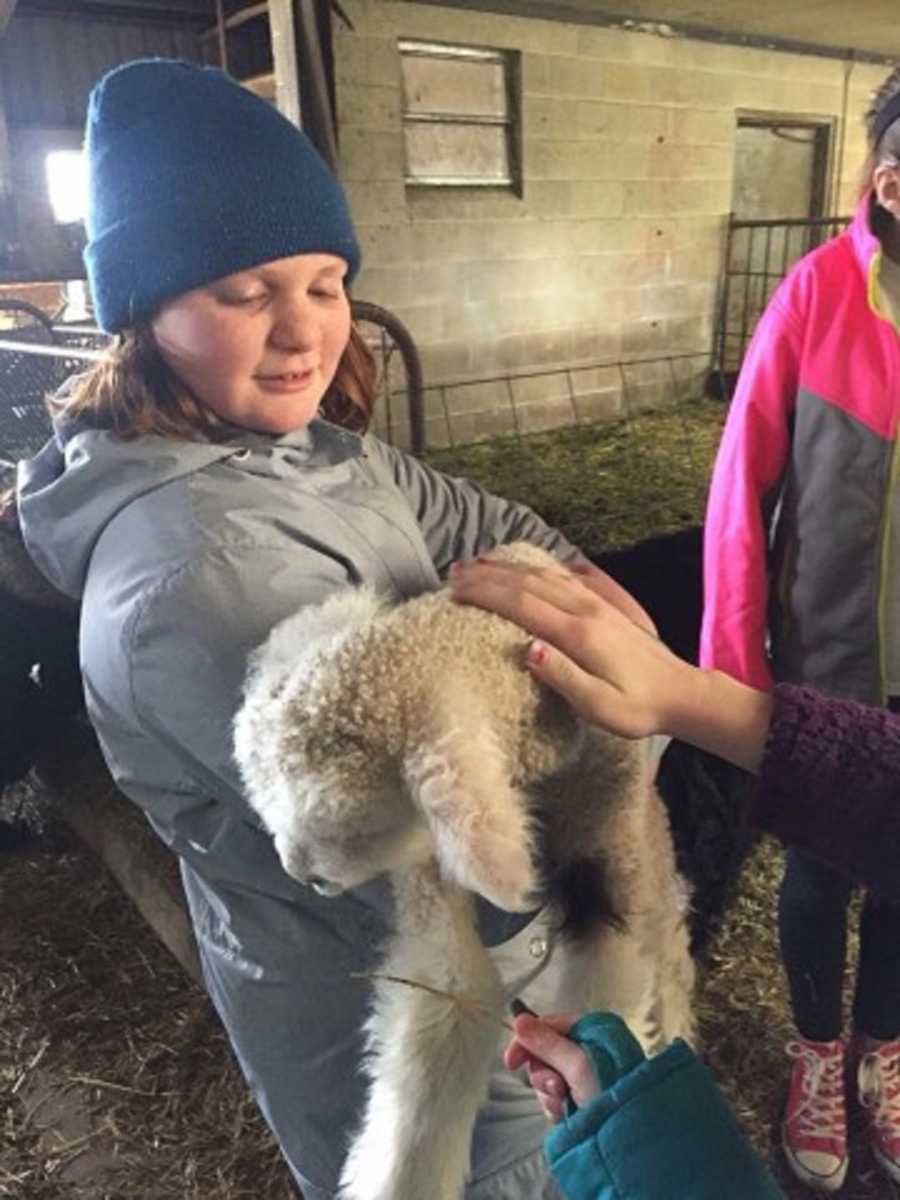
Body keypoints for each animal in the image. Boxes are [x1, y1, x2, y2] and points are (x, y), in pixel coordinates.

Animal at [234, 542, 696, 1200]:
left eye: (357, 831)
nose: (300, 875)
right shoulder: (433, 883)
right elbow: (450, 1003)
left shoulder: (608, 850)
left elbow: (606, 995)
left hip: (646, 855)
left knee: (671, 953)